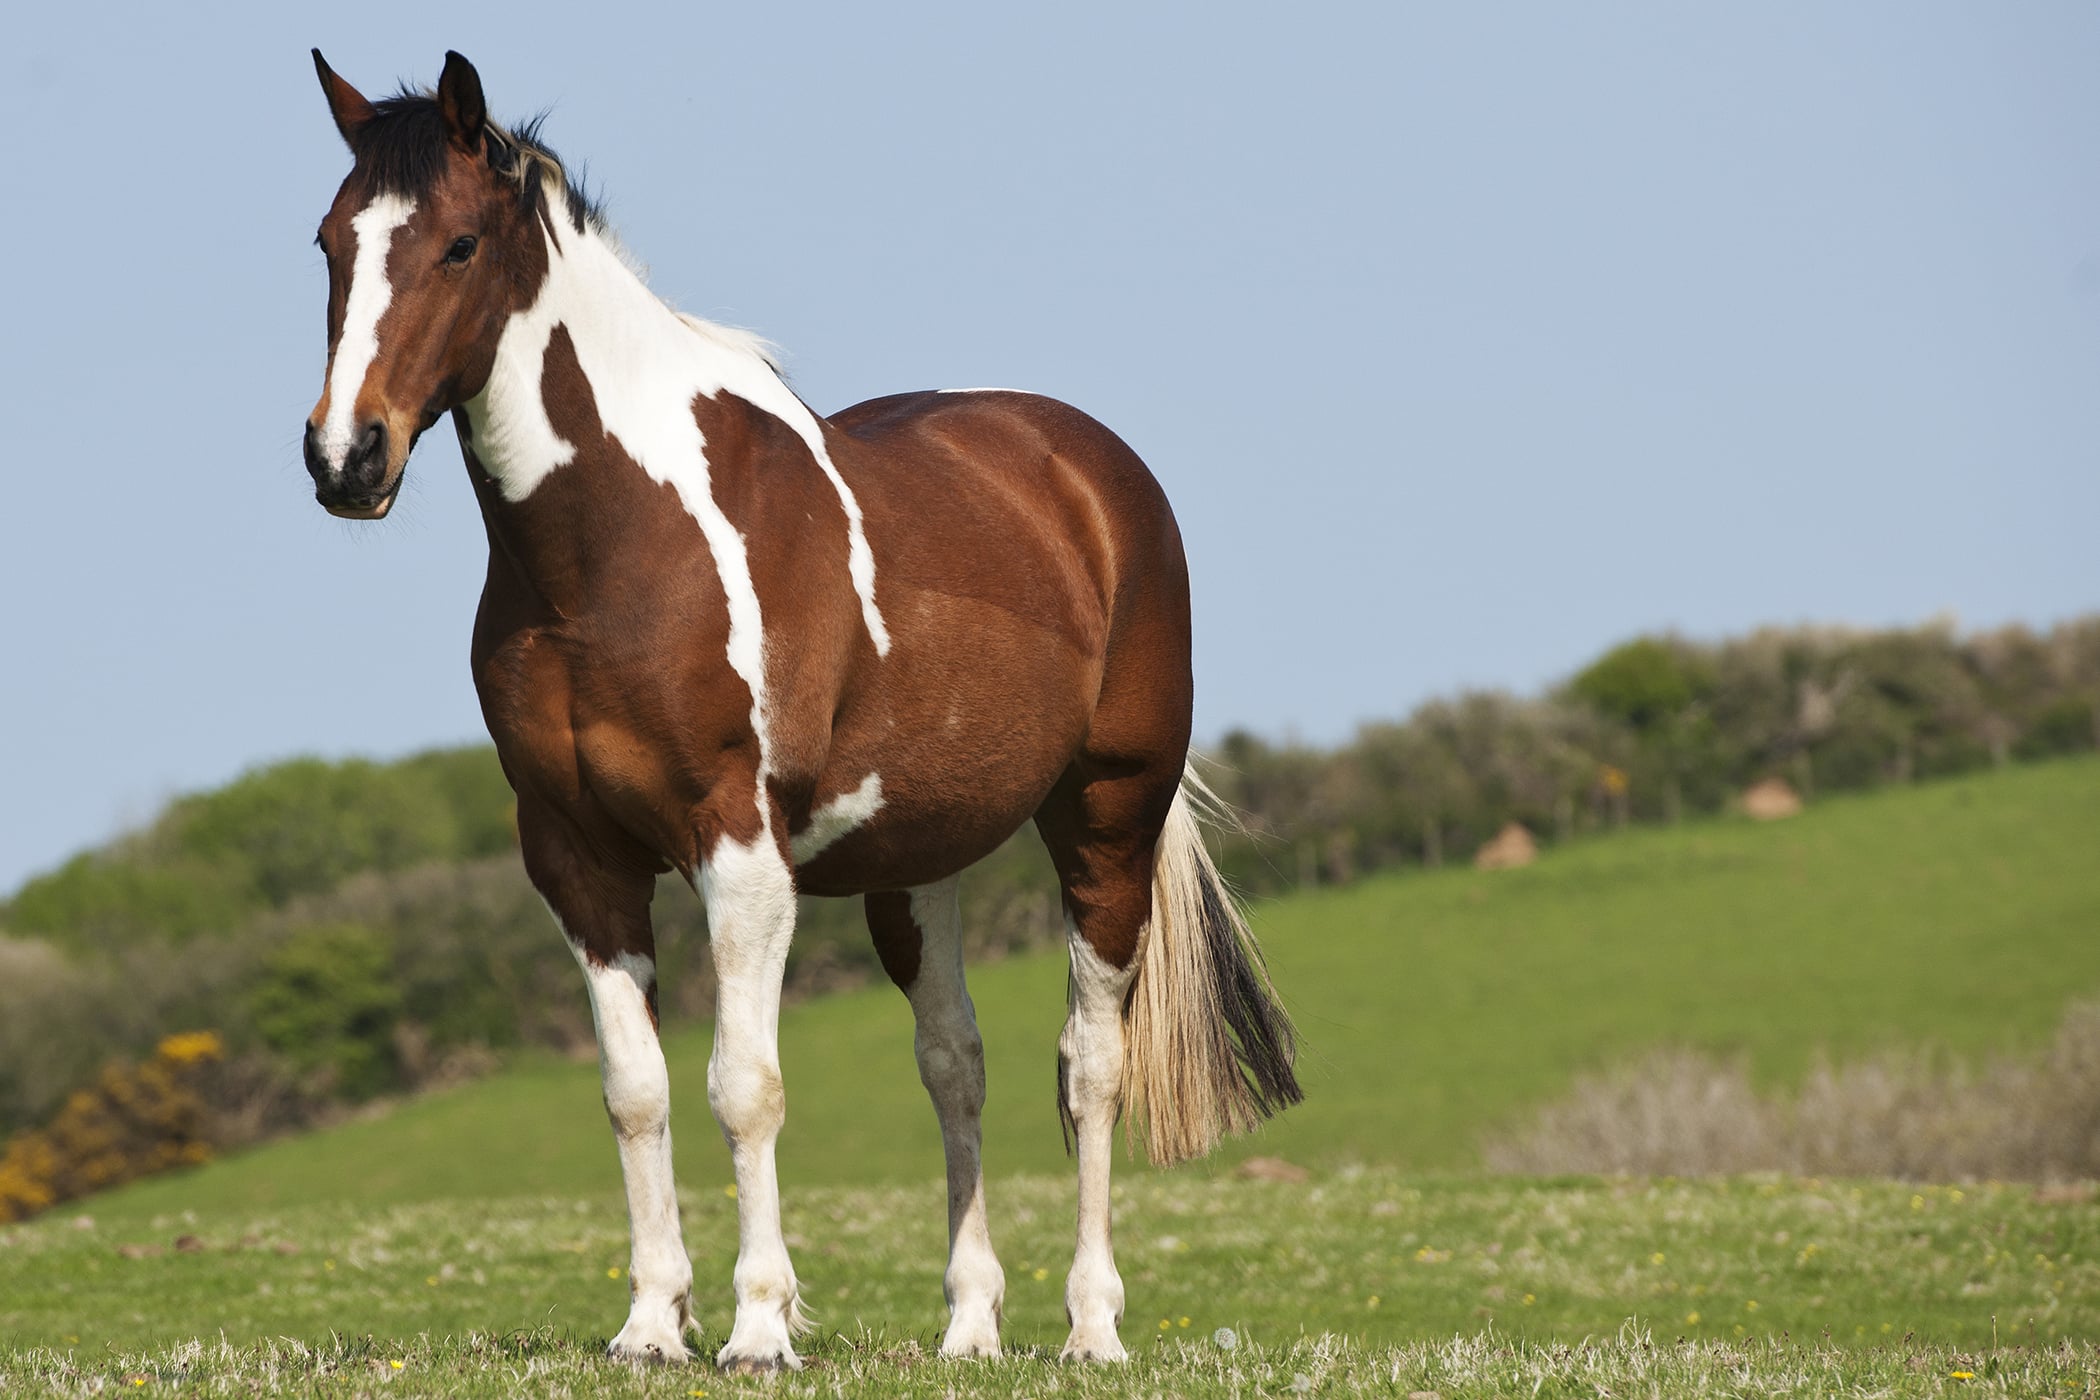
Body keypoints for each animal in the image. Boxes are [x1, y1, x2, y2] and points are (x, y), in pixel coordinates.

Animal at [301, 49, 1299, 1371]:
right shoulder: (578, 859)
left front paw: (759, 1327)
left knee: (1088, 1064)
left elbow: (746, 1084)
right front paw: (649, 1324)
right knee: (955, 1063)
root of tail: (1093, 471)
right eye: (329, 243)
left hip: (1106, 821)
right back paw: (970, 1325)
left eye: (459, 245)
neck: (617, 546)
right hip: (916, 862)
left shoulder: (741, 851)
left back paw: (1091, 1325)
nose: (345, 458)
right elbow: (636, 1090)